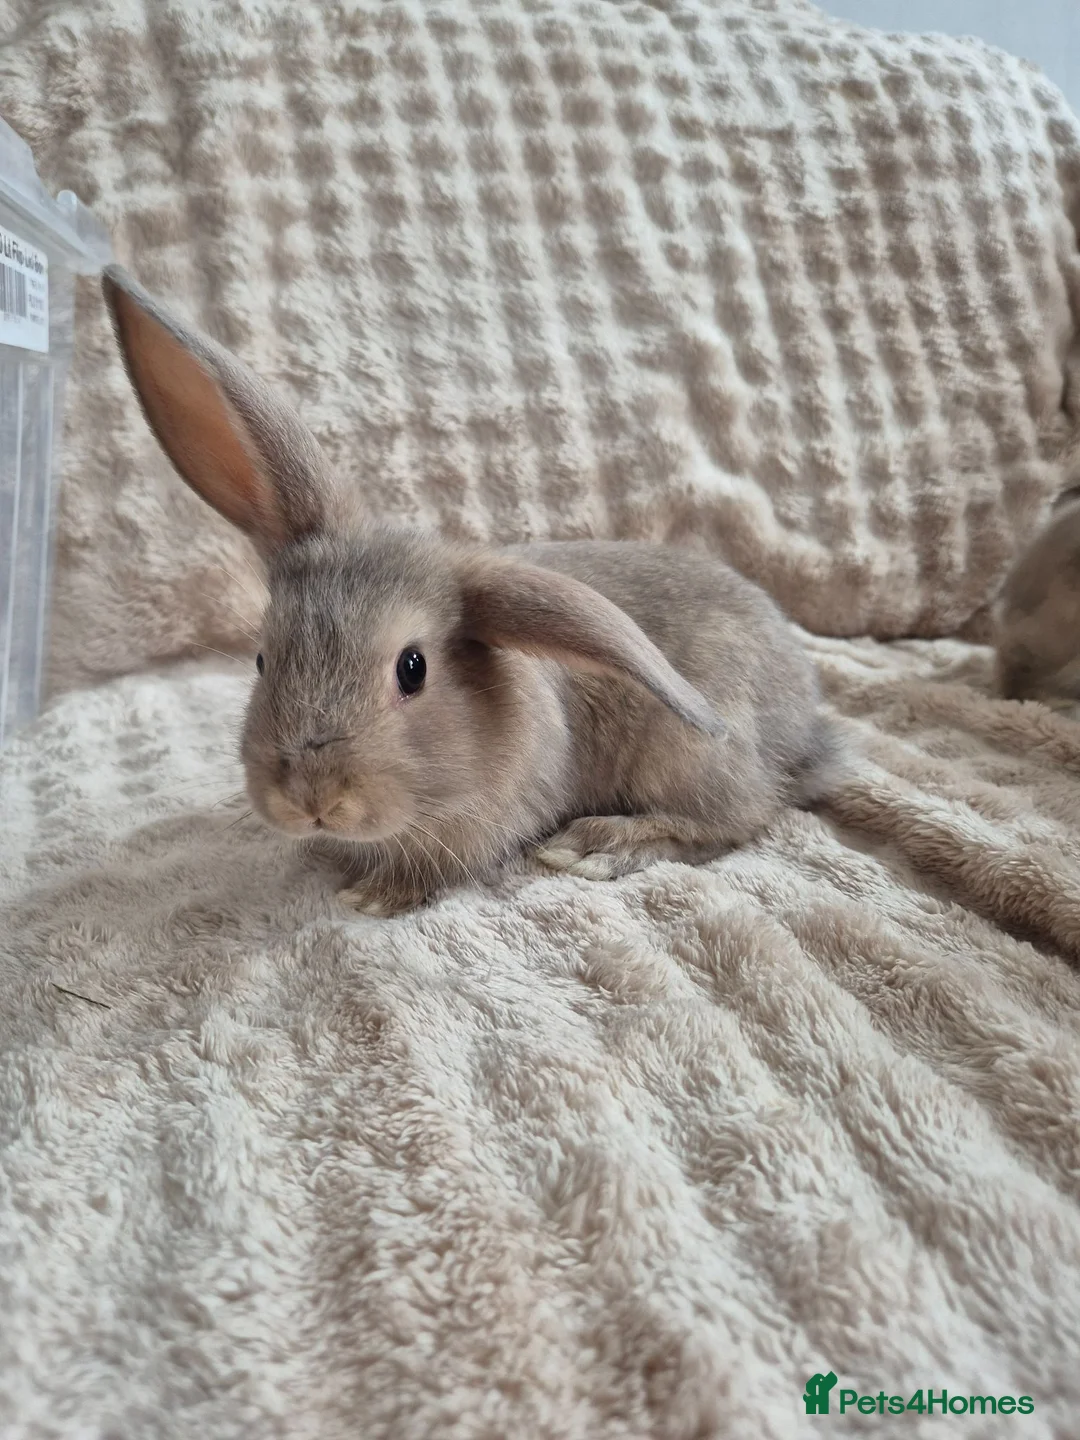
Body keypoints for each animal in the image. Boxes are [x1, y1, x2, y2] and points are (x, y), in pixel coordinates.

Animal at [102, 264, 846, 916]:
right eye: (262, 660)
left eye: (413, 668)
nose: (312, 800)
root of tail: (804, 732)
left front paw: (376, 896)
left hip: (686, 753)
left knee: (741, 817)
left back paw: (595, 845)